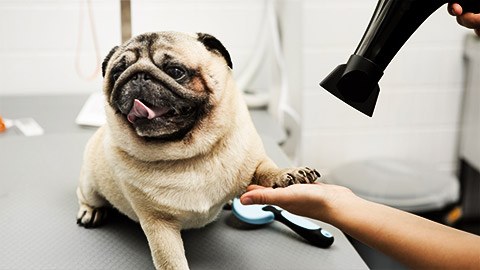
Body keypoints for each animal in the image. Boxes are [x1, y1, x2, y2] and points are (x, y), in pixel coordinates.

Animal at [76, 31, 318, 268]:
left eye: (176, 71)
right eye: (117, 73)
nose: (138, 76)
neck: (189, 154)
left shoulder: (251, 163)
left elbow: (266, 169)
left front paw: (287, 174)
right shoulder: (158, 225)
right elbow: (171, 261)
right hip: (91, 184)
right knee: (85, 194)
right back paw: (90, 211)